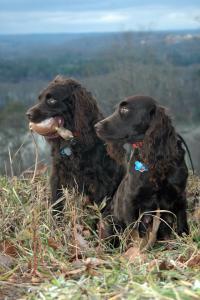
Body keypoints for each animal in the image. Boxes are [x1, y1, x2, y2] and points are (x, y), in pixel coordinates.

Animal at [25, 76, 124, 212]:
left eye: (51, 100)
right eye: (39, 98)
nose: (28, 114)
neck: (72, 140)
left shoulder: (100, 181)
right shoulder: (58, 174)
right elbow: (57, 201)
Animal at [95, 95, 189, 240]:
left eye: (125, 109)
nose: (96, 126)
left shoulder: (179, 196)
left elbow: (182, 224)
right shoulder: (130, 201)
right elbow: (134, 233)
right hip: (109, 223)